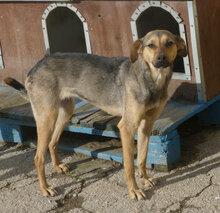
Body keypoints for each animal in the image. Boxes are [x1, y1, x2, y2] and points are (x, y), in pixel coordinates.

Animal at [4, 30, 186, 200]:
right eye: (150, 45)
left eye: (169, 43)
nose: (161, 58)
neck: (152, 79)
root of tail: (36, 66)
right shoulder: (127, 127)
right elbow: (129, 165)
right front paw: (134, 190)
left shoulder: (146, 125)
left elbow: (142, 158)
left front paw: (145, 180)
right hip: (47, 117)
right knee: (38, 158)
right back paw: (45, 188)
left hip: (65, 111)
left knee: (52, 142)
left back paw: (57, 167)